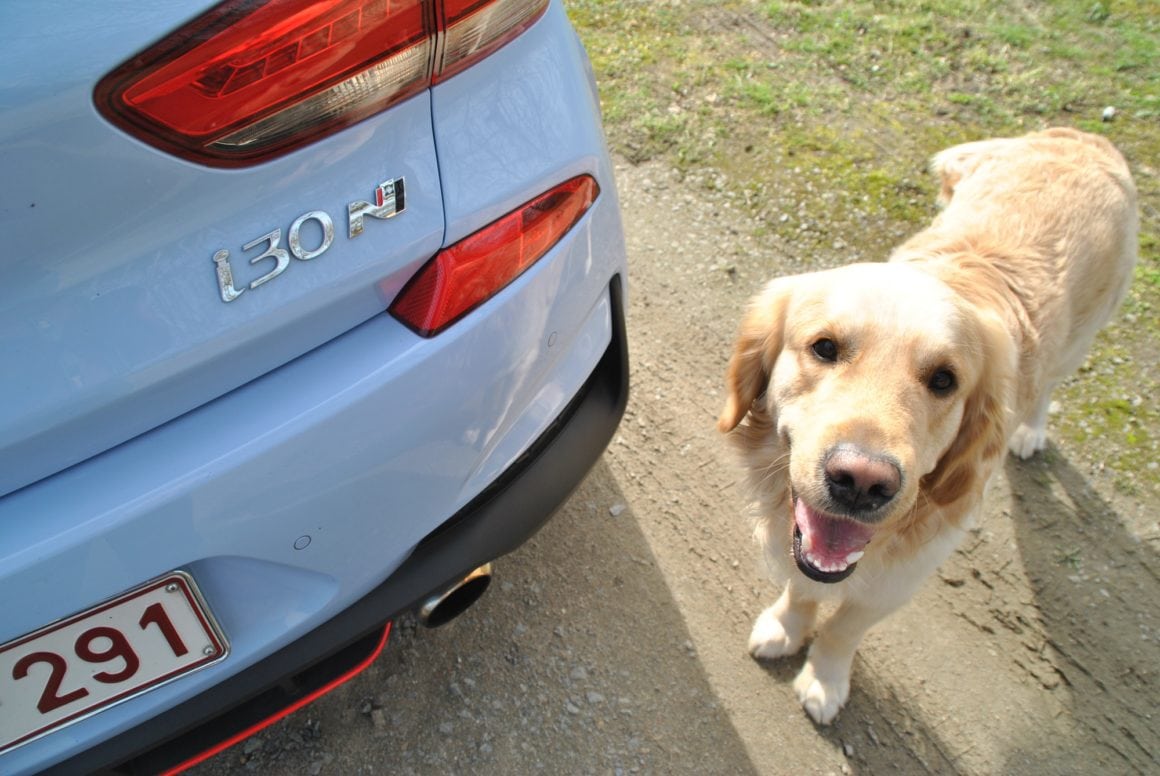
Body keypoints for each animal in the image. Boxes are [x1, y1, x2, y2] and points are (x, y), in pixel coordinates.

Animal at [718, 128, 1137, 724]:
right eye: (824, 347)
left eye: (944, 380)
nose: (862, 482)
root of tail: (1080, 135)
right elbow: (804, 588)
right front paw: (785, 628)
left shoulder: (900, 578)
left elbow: (843, 627)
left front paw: (825, 679)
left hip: (1081, 335)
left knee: (1050, 385)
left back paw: (1030, 431)